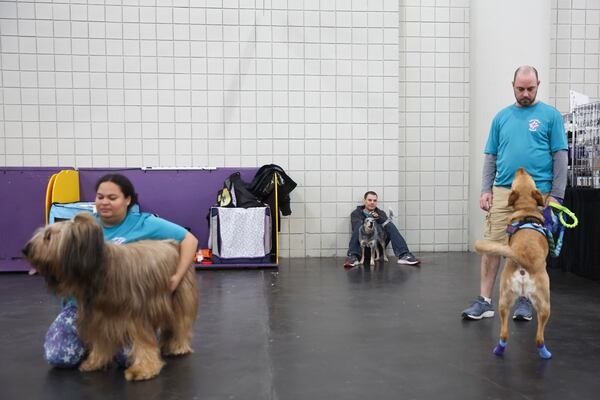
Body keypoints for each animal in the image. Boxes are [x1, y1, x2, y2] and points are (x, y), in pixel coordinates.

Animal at [474, 169, 552, 360]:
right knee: (539, 337)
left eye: (527, 177)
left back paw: (499, 349)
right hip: (545, 303)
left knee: (504, 333)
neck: (526, 209)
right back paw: (545, 353)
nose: (521, 168)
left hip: (504, 299)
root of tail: (522, 257)